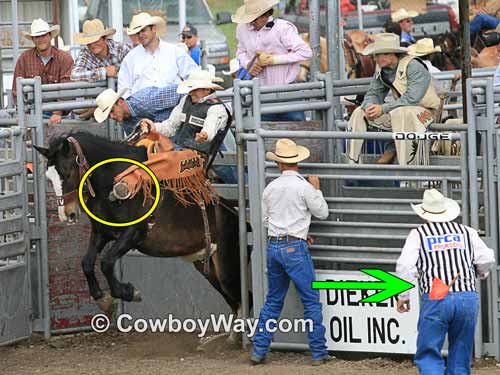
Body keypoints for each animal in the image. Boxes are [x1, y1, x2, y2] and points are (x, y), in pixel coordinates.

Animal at [34, 131, 250, 344]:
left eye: (67, 171)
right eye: (49, 177)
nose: (67, 214)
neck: (114, 182)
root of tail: (237, 216)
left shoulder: (134, 233)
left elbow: (106, 262)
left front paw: (128, 292)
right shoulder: (101, 233)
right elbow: (86, 263)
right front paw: (103, 300)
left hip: (227, 268)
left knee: (244, 295)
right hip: (209, 269)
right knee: (236, 301)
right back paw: (233, 336)